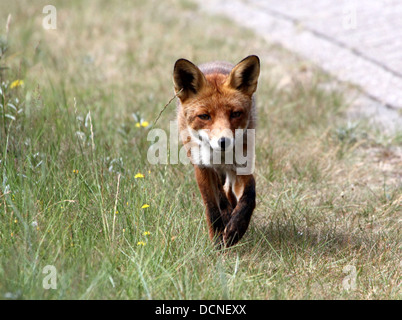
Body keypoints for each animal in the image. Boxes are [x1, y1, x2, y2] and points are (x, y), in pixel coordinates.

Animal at [173, 55, 260, 248]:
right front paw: (218, 240)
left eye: (235, 114)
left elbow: (249, 195)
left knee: (229, 191)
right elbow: (212, 207)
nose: (223, 142)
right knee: (222, 193)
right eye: (204, 116)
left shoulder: (242, 166)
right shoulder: (202, 168)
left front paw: (236, 228)